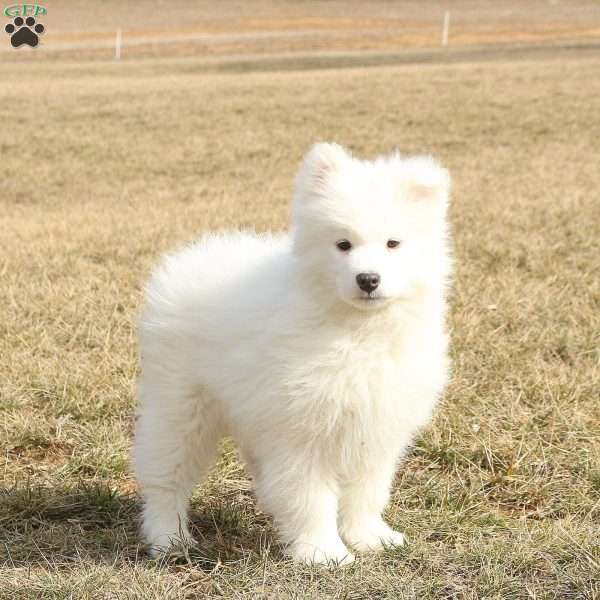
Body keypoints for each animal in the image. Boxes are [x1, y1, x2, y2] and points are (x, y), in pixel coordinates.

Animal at [135, 143, 450, 564]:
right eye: (343, 244)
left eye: (393, 243)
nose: (368, 279)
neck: (357, 332)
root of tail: (193, 256)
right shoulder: (301, 429)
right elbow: (310, 496)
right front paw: (323, 552)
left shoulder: (376, 423)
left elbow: (367, 490)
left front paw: (369, 537)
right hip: (179, 405)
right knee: (166, 475)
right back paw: (170, 537)